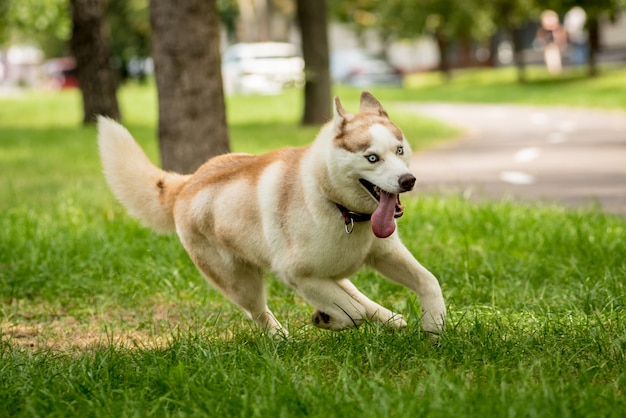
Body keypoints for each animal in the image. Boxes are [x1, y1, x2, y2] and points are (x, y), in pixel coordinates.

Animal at [97, 91, 444, 336]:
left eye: (399, 150)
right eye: (372, 158)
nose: (408, 180)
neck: (339, 208)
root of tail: (187, 182)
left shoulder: (384, 254)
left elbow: (429, 281)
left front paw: (435, 328)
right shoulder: (298, 276)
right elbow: (352, 314)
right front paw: (331, 319)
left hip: (329, 272)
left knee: (352, 291)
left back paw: (390, 317)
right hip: (241, 284)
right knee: (260, 313)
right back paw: (281, 339)